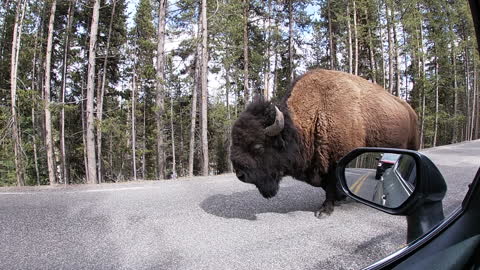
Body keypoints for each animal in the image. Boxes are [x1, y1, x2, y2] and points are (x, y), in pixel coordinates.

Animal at [231, 69, 418, 217]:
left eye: (258, 146)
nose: (240, 175)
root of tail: (410, 110)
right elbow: (328, 185)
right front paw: (339, 199)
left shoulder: (337, 161)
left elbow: (331, 184)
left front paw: (324, 210)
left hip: (412, 145)